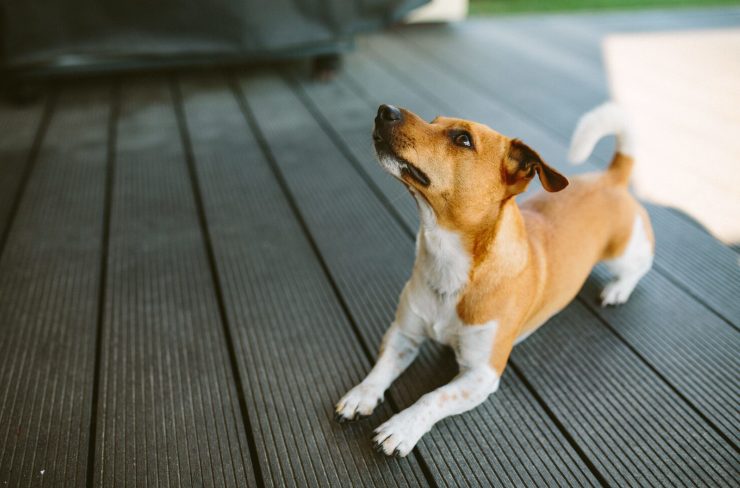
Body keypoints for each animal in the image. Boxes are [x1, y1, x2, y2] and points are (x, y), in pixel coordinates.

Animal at [336, 103, 652, 458]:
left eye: (463, 139)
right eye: (433, 122)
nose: (384, 109)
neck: (448, 263)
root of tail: (612, 177)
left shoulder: (481, 373)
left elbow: (433, 397)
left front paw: (402, 427)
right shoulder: (403, 334)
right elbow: (381, 369)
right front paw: (361, 394)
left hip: (623, 251)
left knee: (640, 264)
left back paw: (618, 289)